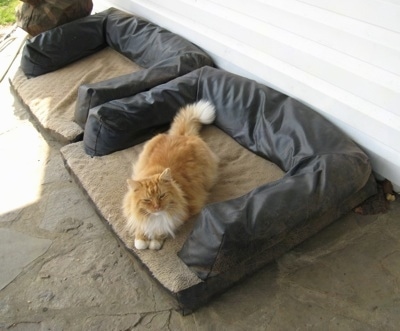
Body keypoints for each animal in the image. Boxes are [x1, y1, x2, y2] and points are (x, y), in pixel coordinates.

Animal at [123, 100, 220, 250]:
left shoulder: (182, 214)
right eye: (147, 200)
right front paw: (141, 240)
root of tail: (181, 135)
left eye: (162, 196)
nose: (157, 207)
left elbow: (162, 229)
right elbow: (140, 226)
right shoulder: (133, 211)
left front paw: (154, 242)